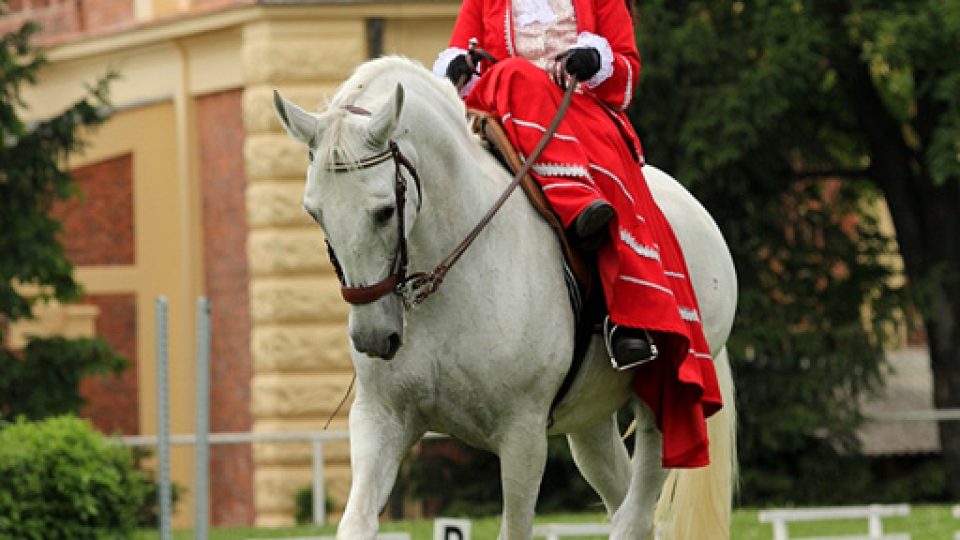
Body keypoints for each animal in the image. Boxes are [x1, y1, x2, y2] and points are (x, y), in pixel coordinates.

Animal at [274, 57, 740, 536]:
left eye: (384, 211)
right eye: (314, 212)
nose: (371, 336)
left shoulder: (522, 434)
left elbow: (516, 527)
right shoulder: (381, 419)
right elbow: (356, 523)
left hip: (666, 401)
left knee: (635, 512)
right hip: (589, 420)